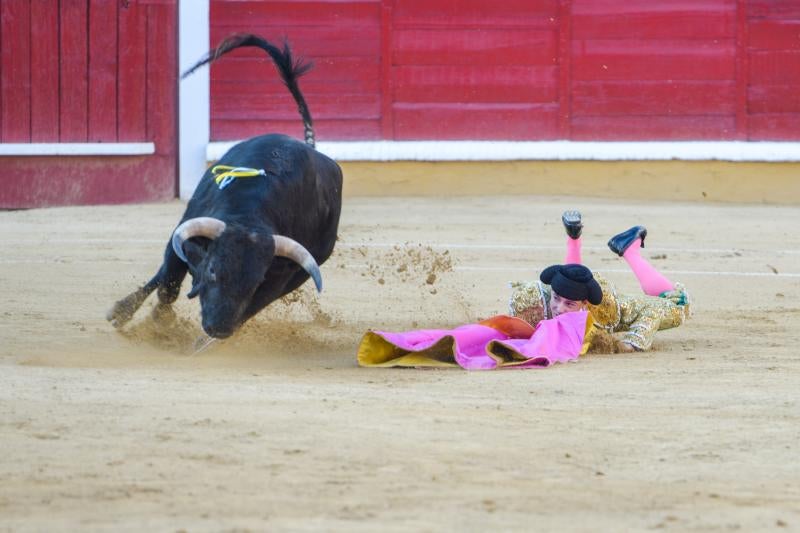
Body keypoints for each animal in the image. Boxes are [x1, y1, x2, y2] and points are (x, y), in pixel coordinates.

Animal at [105, 35, 340, 338]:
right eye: (214, 271)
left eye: (255, 282)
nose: (218, 328)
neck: (247, 213)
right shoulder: (183, 232)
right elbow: (169, 281)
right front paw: (158, 320)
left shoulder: (281, 277)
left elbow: (252, 305)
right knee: (162, 277)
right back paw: (122, 311)